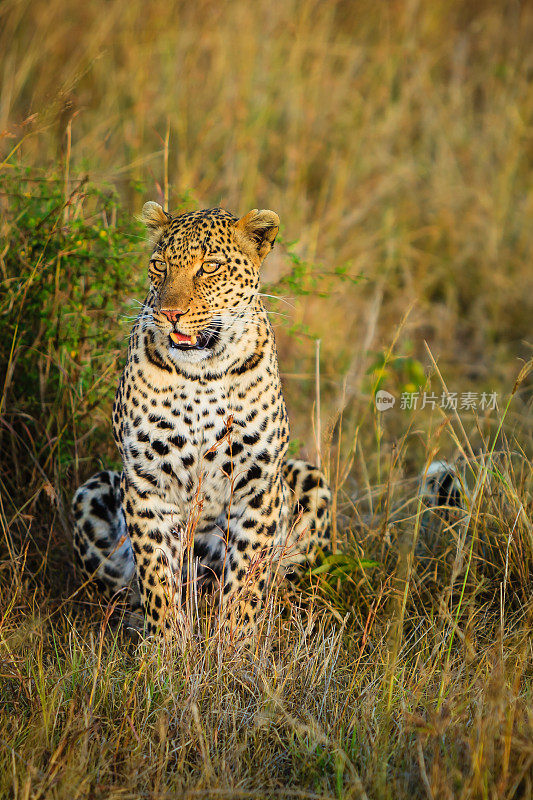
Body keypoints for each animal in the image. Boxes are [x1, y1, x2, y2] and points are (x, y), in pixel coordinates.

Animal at [70, 202, 328, 636]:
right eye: (159, 266)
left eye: (209, 267)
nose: (169, 313)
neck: (202, 374)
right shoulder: (147, 483)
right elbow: (157, 578)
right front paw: (165, 646)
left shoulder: (257, 484)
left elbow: (246, 583)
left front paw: (235, 644)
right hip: (91, 491)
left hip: (309, 480)